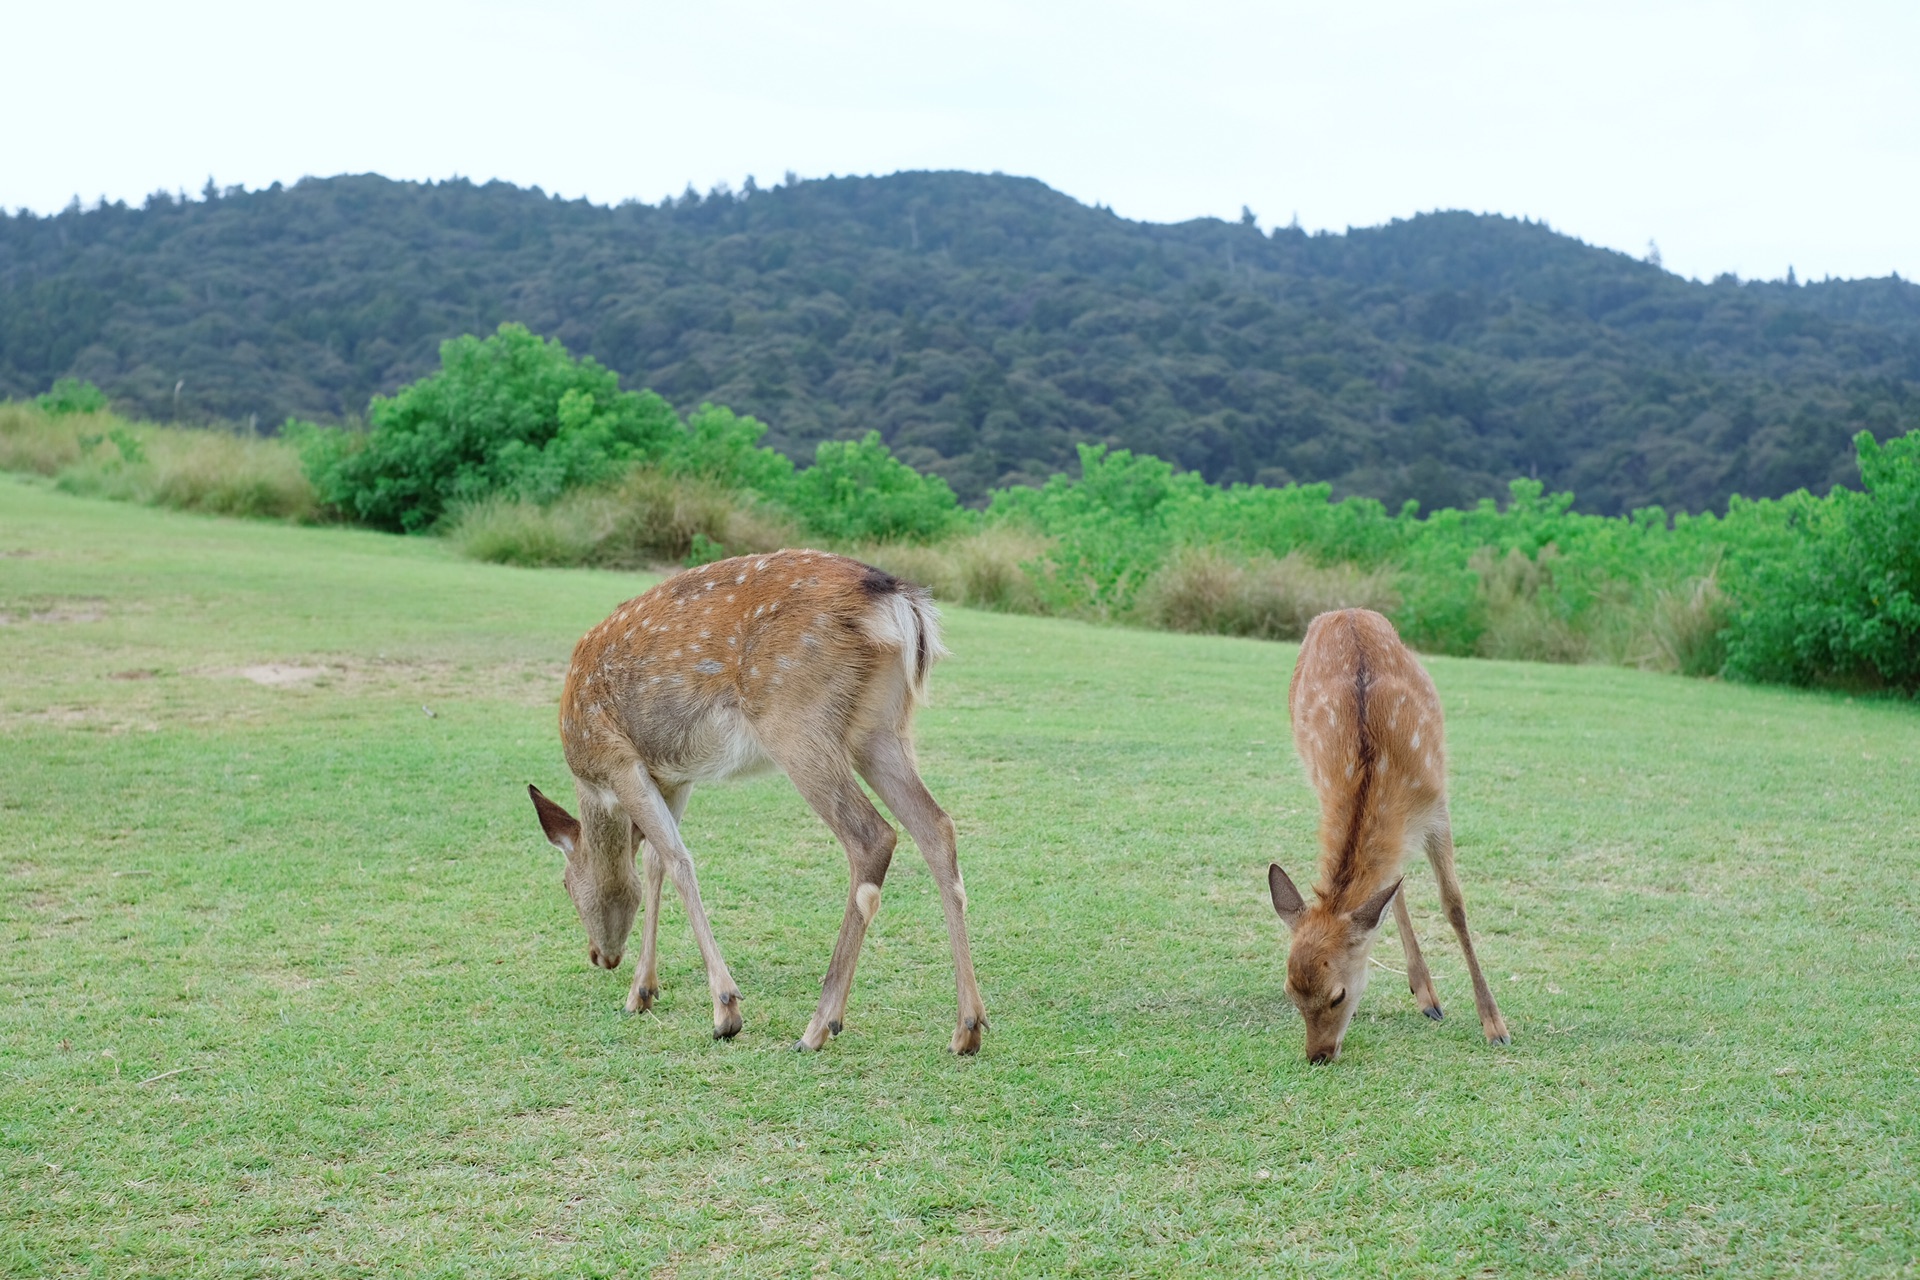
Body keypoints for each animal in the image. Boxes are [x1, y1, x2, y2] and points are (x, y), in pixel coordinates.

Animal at [533, 545, 998, 1059]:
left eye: (566, 885)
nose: (600, 956)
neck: (591, 781)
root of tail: (900, 602)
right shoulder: (674, 775)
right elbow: (654, 863)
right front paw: (642, 992)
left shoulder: (620, 761)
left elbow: (678, 860)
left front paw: (725, 1010)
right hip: (880, 728)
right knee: (937, 826)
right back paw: (968, 1027)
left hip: (796, 719)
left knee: (872, 835)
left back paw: (818, 1026)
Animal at [1267, 610, 1505, 1059]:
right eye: (1290, 992)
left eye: (1338, 996)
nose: (1318, 1055)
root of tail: (1343, 612)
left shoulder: (1438, 807)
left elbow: (1454, 905)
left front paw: (1495, 1025)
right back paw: (1425, 993)